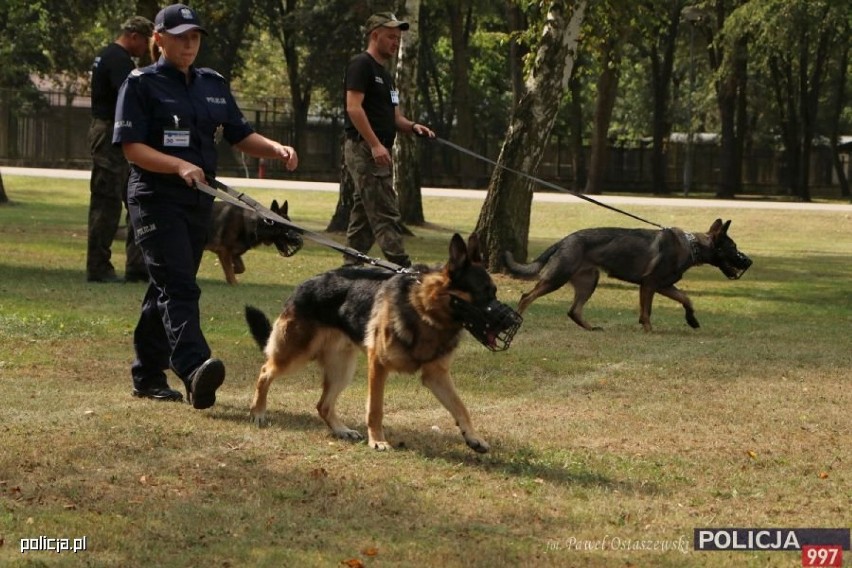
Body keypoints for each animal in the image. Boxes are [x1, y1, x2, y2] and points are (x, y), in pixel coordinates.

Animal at [241, 234, 520, 452]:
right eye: (484, 292)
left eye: (494, 292)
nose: (512, 322)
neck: (424, 310)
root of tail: (302, 285)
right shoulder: (378, 365)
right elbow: (375, 409)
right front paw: (377, 441)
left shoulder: (436, 375)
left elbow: (461, 407)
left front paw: (473, 437)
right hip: (295, 355)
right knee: (265, 372)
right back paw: (258, 412)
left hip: (342, 369)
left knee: (322, 405)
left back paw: (341, 430)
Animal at [506, 220, 752, 330]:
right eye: (733, 247)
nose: (749, 261)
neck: (692, 246)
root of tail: (564, 240)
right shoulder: (650, 285)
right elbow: (647, 311)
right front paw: (649, 330)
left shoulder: (664, 286)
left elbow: (687, 299)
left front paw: (691, 319)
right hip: (557, 278)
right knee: (526, 297)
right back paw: (516, 320)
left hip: (589, 281)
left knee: (573, 311)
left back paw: (591, 328)